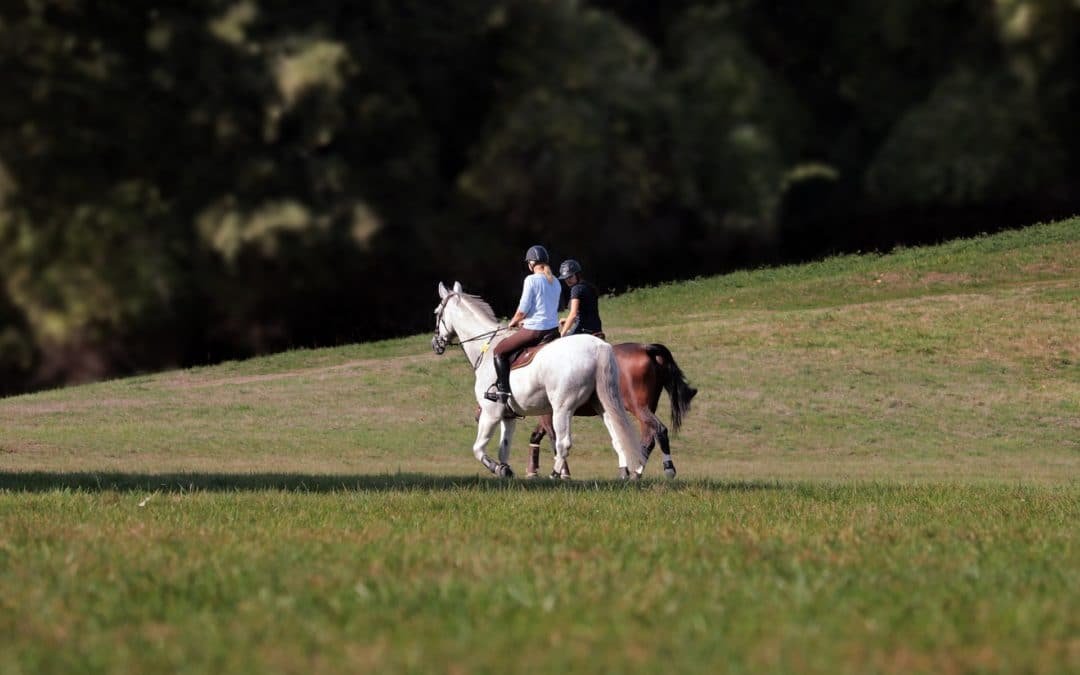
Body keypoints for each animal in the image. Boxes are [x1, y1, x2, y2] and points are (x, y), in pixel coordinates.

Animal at [432, 282, 643, 479]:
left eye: (436, 313)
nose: (435, 344)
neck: (486, 347)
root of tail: (598, 347)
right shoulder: (508, 416)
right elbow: (504, 449)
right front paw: (505, 470)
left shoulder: (491, 413)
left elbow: (478, 449)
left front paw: (496, 468)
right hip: (602, 404)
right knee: (617, 436)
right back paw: (626, 473)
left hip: (562, 408)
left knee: (563, 443)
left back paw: (555, 474)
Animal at [526, 342, 697, 480]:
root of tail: (646, 348)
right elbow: (536, 436)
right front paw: (532, 471)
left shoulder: (550, 414)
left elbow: (553, 440)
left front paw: (561, 473)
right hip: (646, 408)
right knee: (648, 438)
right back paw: (636, 472)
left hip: (639, 407)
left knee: (659, 430)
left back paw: (662, 469)